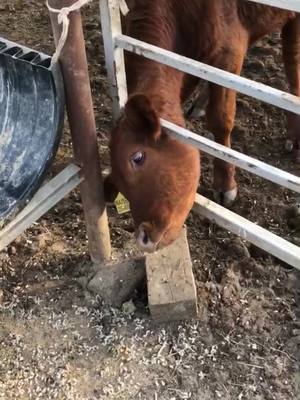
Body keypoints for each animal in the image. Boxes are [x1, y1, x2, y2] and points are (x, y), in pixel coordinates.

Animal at [103, 0, 300, 252]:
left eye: (137, 158)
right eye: (118, 182)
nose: (143, 238)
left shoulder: (228, 55)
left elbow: (221, 120)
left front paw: (225, 184)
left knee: (292, 61)